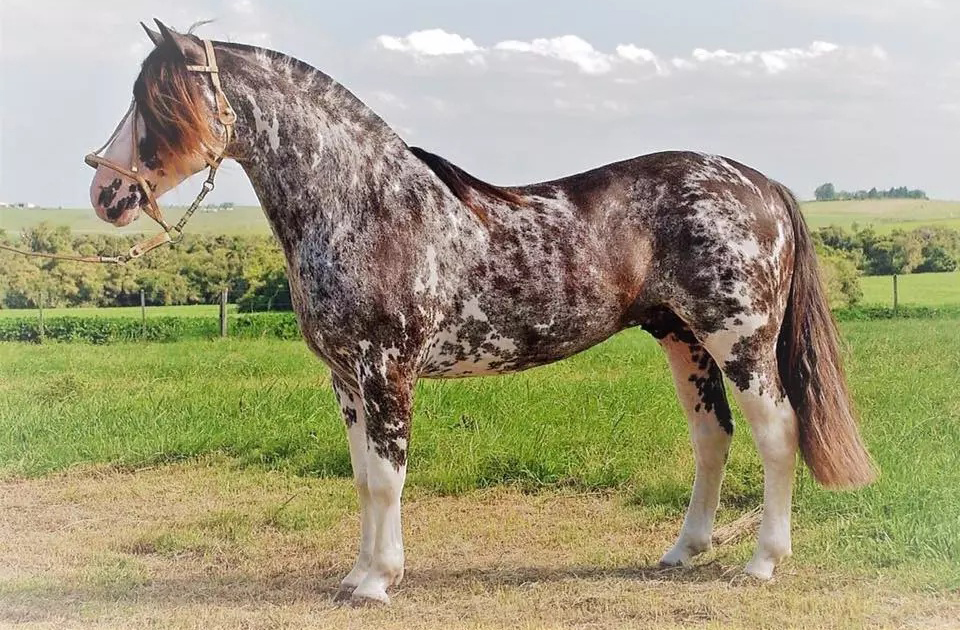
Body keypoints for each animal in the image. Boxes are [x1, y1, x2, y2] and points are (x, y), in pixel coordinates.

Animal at [87, 20, 876, 604]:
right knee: (712, 438)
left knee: (778, 434)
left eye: (156, 102)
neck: (365, 206)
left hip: (740, 340)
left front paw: (378, 582)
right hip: (683, 340)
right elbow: (363, 478)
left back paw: (762, 563)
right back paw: (682, 551)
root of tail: (759, 183)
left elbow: (388, 477)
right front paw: (356, 574)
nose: (105, 193)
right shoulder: (346, 378)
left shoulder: (386, 371)